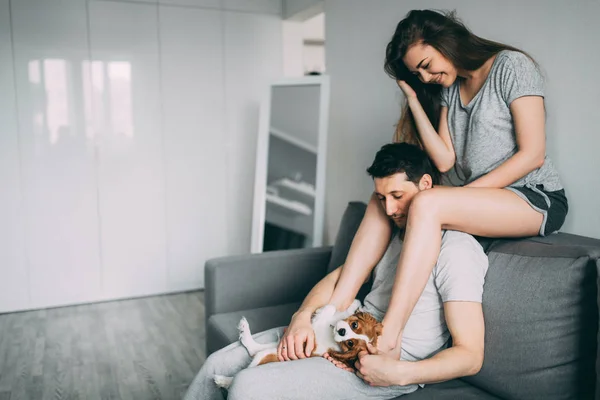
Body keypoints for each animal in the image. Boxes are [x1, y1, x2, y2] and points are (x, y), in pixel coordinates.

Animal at [216, 302, 382, 390]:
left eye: (350, 343)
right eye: (354, 325)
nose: (342, 331)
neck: (330, 329)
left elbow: (329, 309)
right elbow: (333, 310)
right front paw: (355, 304)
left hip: (266, 355)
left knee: (244, 367)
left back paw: (223, 380)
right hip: (274, 347)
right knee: (253, 349)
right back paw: (245, 332)